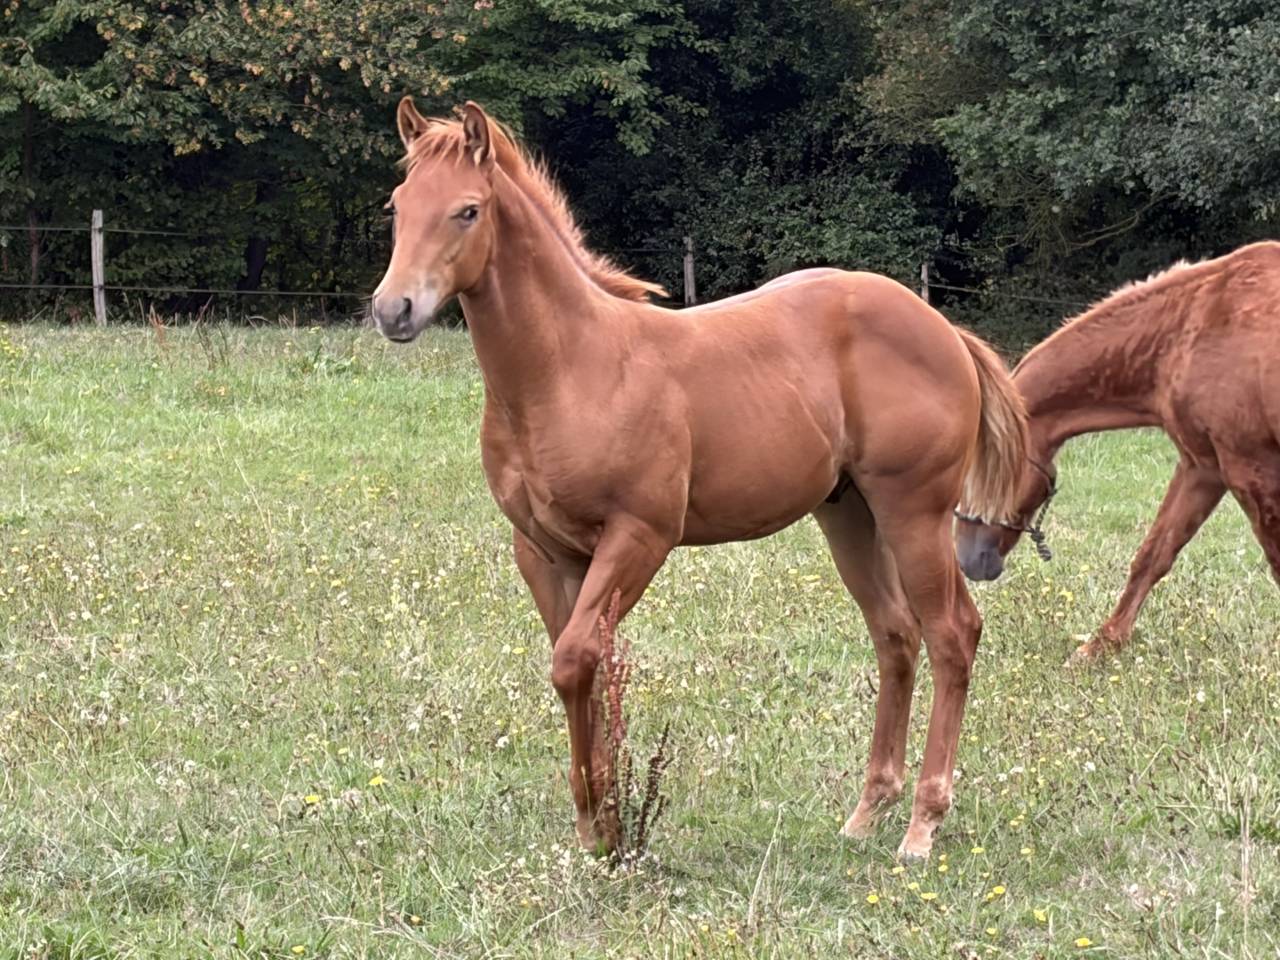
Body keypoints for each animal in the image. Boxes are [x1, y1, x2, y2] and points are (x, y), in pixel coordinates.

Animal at [370, 99, 1028, 861]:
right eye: (398, 205)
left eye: (468, 211)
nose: (394, 310)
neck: (568, 369)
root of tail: (944, 328)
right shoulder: (542, 551)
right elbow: (584, 665)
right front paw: (602, 823)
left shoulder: (639, 536)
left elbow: (575, 659)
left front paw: (604, 818)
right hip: (849, 513)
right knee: (895, 634)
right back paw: (867, 813)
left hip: (913, 511)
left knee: (952, 632)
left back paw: (922, 826)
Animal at [956, 241, 1280, 663]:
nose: (967, 560)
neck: (1190, 330)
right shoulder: (1203, 468)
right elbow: (1154, 554)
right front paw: (1101, 645)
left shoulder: (1250, 470)